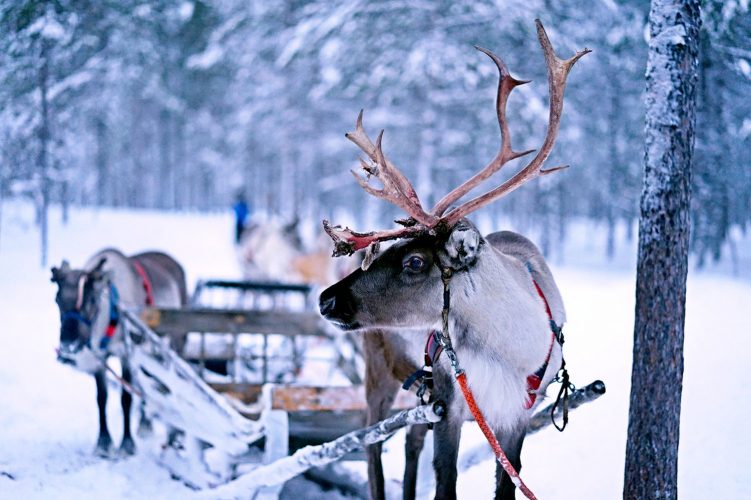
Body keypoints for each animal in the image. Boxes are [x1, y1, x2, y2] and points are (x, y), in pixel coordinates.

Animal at [318, 20, 589, 500]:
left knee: (408, 441)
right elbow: (446, 480)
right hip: (378, 374)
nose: (326, 299)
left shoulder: (515, 413)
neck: (508, 350)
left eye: (413, 262)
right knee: (371, 442)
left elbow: (508, 481)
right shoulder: (451, 402)